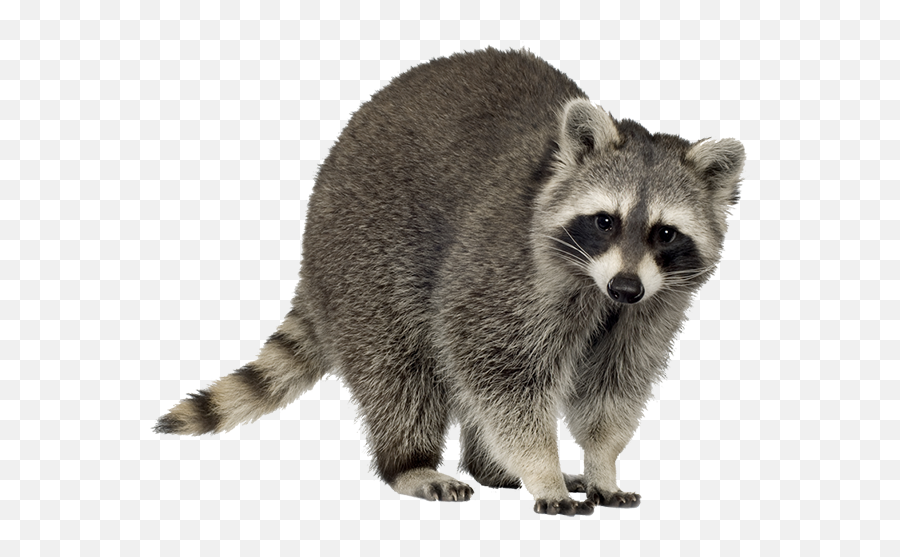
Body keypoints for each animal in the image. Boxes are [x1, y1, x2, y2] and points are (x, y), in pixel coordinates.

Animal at [155, 48, 744, 516]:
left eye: (665, 232)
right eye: (605, 221)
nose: (624, 288)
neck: (595, 283)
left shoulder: (654, 305)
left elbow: (614, 385)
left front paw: (601, 463)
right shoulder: (504, 270)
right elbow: (499, 370)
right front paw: (542, 468)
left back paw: (491, 467)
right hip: (364, 255)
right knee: (401, 368)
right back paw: (410, 463)